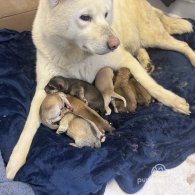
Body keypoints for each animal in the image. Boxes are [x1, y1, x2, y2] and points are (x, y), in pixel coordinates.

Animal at [6, 0, 195, 180]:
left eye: (105, 15)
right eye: (85, 17)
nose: (115, 44)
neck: (76, 56)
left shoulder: (125, 60)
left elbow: (151, 85)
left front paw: (173, 101)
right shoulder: (44, 88)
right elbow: (29, 124)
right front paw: (15, 160)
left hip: (153, 37)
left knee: (182, 44)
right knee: (140, 47)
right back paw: (145, 61)